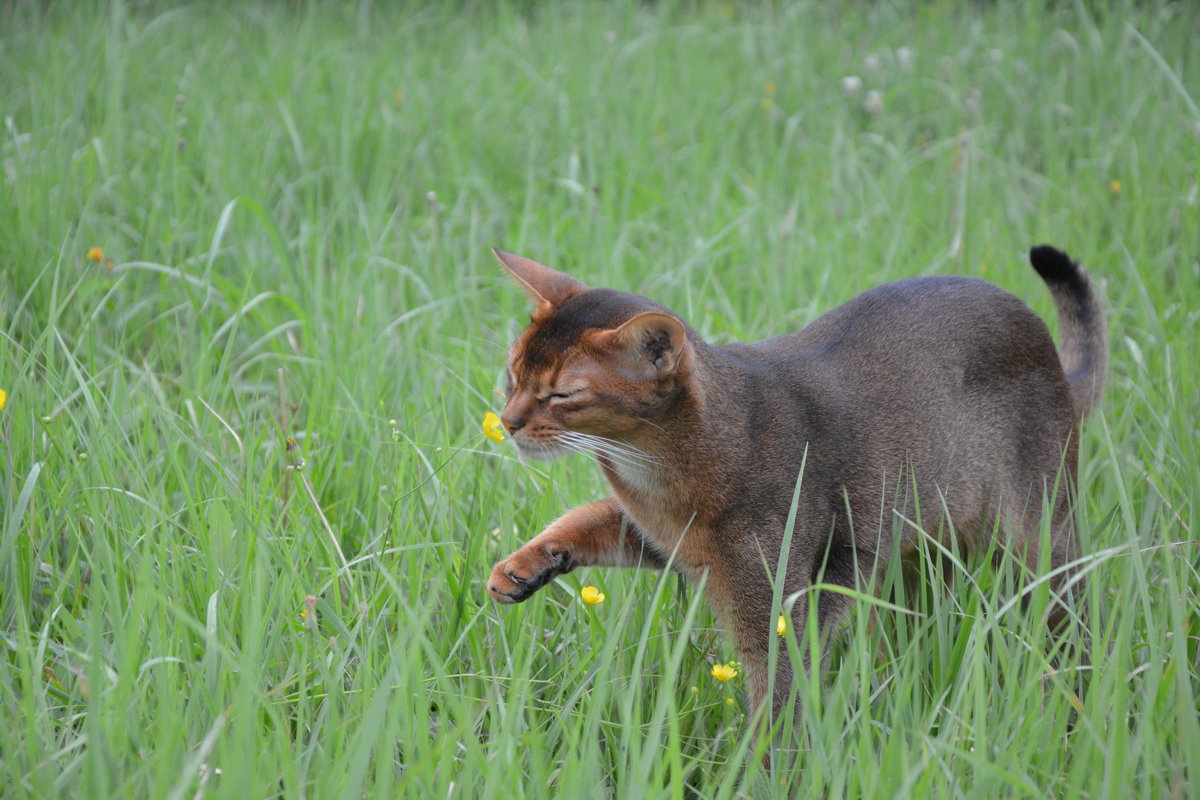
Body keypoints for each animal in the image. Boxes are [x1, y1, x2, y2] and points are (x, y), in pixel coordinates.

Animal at [484, 242, 1104, 719]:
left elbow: (777, 713)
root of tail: (1053, 359)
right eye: (513, 373)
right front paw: (524, 566)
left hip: (1041, 541)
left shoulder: (775, 609)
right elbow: (586, 517)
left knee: (1073, 619)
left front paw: (753, 776)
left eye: (562, 394)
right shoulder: (668, 539)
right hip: (915, 553)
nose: (509, 421)